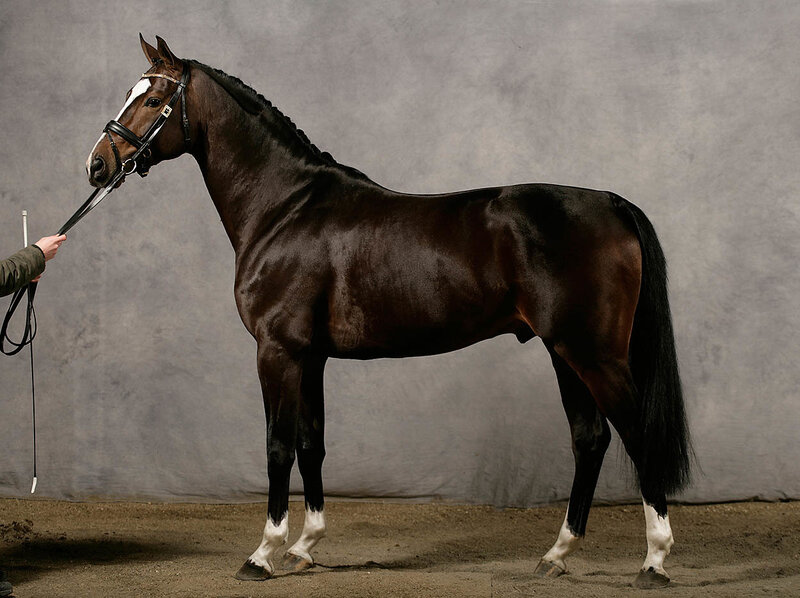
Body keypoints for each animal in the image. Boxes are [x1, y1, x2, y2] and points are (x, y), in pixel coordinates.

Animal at [85, 36, 691, 589]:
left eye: (152, 99)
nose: (97, 164)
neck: (285, 209)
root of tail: (611, 202)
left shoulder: (278, 351)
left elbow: (278, 446)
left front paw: (263, 554)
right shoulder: (311, 357)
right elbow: (311, 443)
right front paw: (305, 547)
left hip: (591, 353)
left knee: (637, 434)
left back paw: (655, 560)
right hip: (564, 352)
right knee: (590, 438)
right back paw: (556, 556)